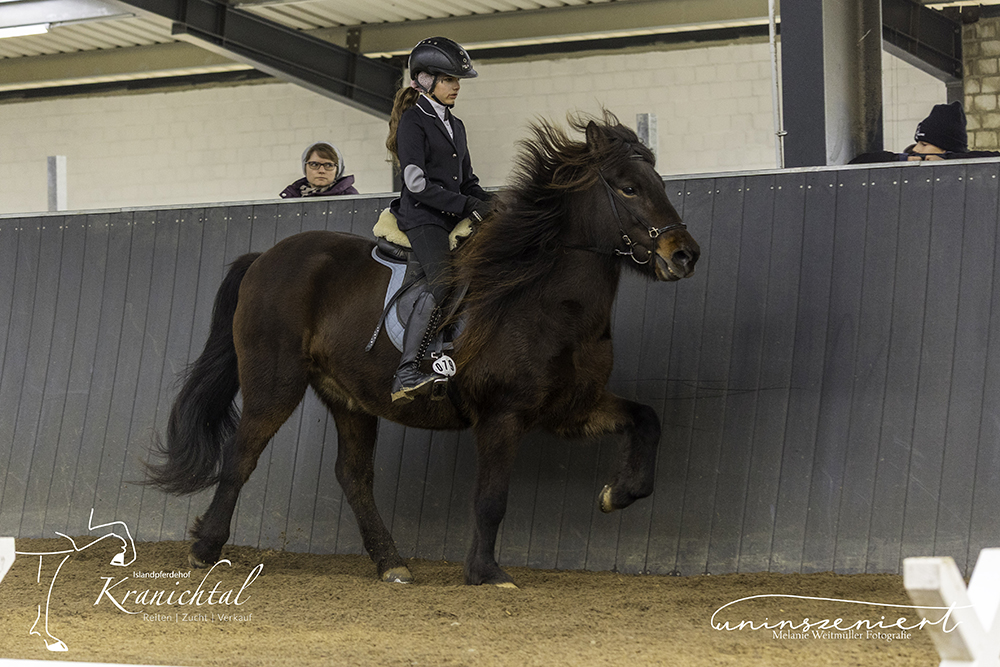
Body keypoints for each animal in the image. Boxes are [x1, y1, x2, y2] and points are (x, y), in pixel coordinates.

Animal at [145, 112, 701, 587]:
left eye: (659, 183)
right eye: (628, 187)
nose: (685, 255)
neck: (543, 297)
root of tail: (265, 257)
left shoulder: (570, 407)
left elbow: (648, 420)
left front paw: (617, 494)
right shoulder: (503, 414)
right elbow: (492, 499)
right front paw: (486, 573)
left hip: (348, 397)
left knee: (353, 475)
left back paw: (391, 563)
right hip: (275, 382)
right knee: (242, 455)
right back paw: (205, 549)